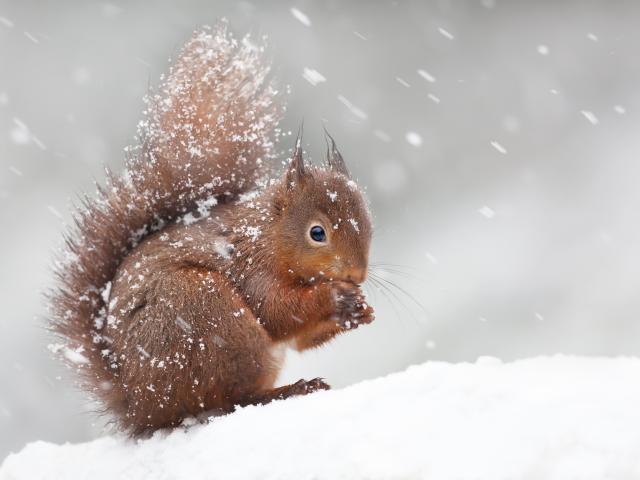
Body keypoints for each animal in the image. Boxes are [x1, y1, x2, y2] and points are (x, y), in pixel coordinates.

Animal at [49, 22, 374, 435]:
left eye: (369, 224)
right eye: (317, 233)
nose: (357, 275)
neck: (268, 236)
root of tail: (141, 407)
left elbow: (301, 339)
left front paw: (360, 309)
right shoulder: (251, 267)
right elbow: (277, 312)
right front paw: (336, 298)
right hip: (209, 316)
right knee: (230, 399)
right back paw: (291, 389)